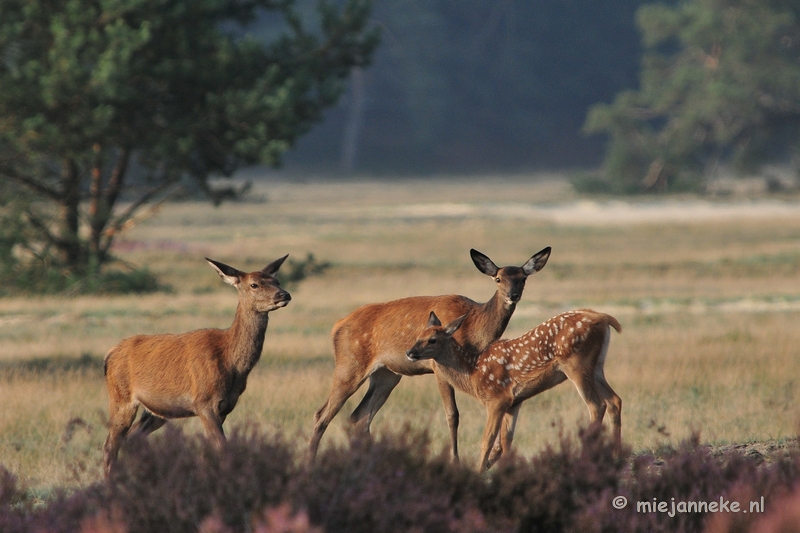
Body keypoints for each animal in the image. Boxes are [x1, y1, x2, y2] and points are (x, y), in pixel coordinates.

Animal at [102, 256, 290, 476]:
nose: (284, 294)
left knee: (130, 439)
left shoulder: (225, 406)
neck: (232, 363)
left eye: (276, 281)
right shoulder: (204, 402)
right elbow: (223, 449)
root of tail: (109, 355)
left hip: (158, 410)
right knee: (110, 444)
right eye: (254, 284)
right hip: (121, 398)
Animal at [306, 247, 552, 460]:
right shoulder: (439, 367)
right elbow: (453, 415)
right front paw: (455, 460)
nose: (513, 295)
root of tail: (337, 327)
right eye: (498, 279)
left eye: (523, 278)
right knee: (322, 415)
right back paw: (311, 462)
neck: (473, 326)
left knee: (359, 417)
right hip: (349, 366)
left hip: (387, 374)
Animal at [406, 308, 624, 470]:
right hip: (597, 367)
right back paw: (615, 456)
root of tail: (603, 317)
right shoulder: (514, 403)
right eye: (418, 336)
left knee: (596, 405)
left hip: (577, 364)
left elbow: (487, 439)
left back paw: (585, 456)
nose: (410, 352)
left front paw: (479, 471)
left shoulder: (497, 399)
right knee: (614, 401)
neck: (474, 372)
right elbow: (506, 441)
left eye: (432, 340)